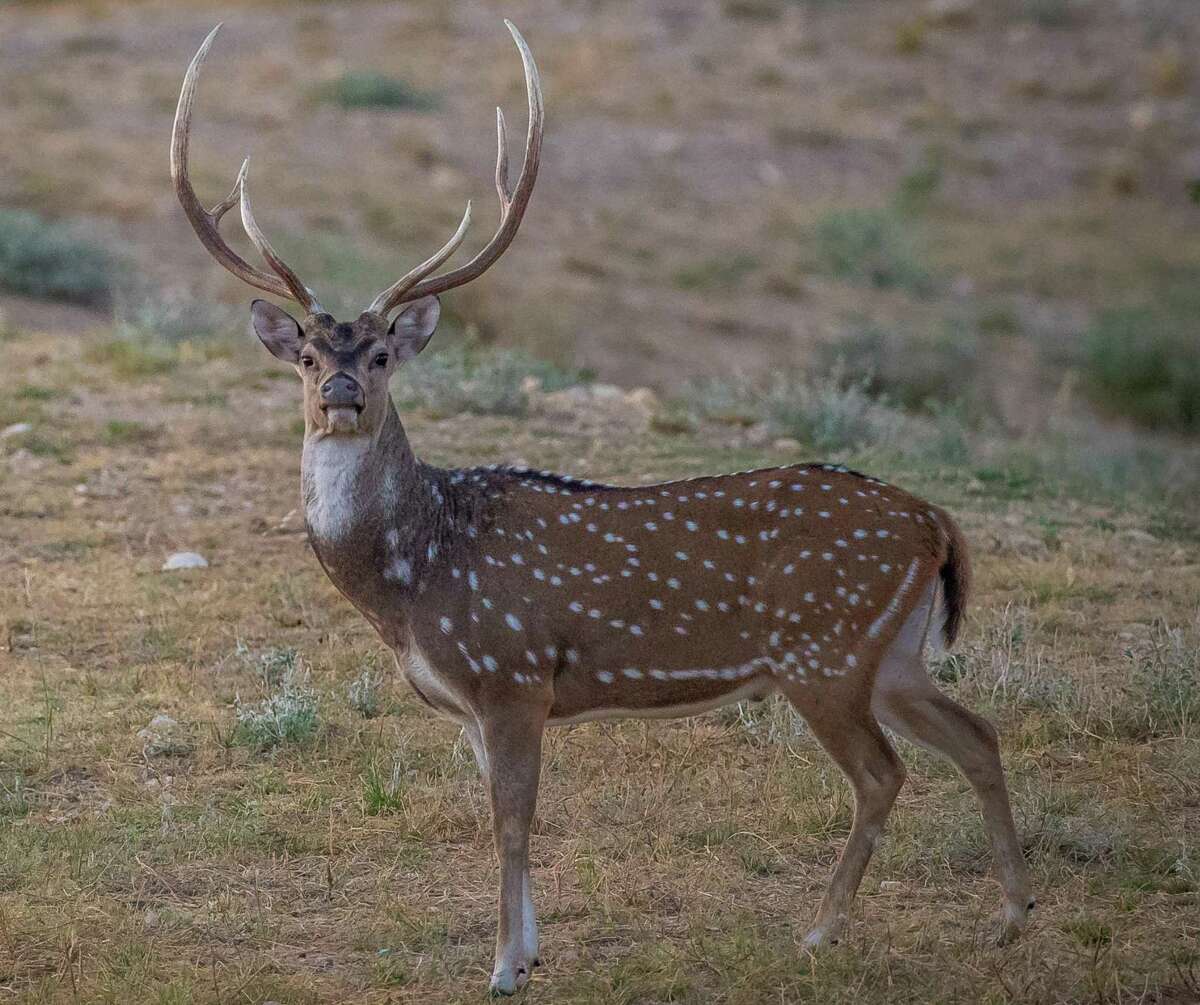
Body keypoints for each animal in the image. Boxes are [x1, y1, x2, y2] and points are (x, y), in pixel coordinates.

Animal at [169, 23, 1032, 997]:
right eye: (310, 355)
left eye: (384, 353)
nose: (343, 394)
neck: (411, 580)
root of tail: (935, 523)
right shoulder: (475, 702)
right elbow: (503, 814)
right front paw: (528, 948)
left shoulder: (511, 672)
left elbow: (511, 819)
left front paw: (503, 966)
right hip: (893, 651)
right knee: (977, 734)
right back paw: (1009, 915)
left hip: (825, 649)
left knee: (884, 773)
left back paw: (822, 931)